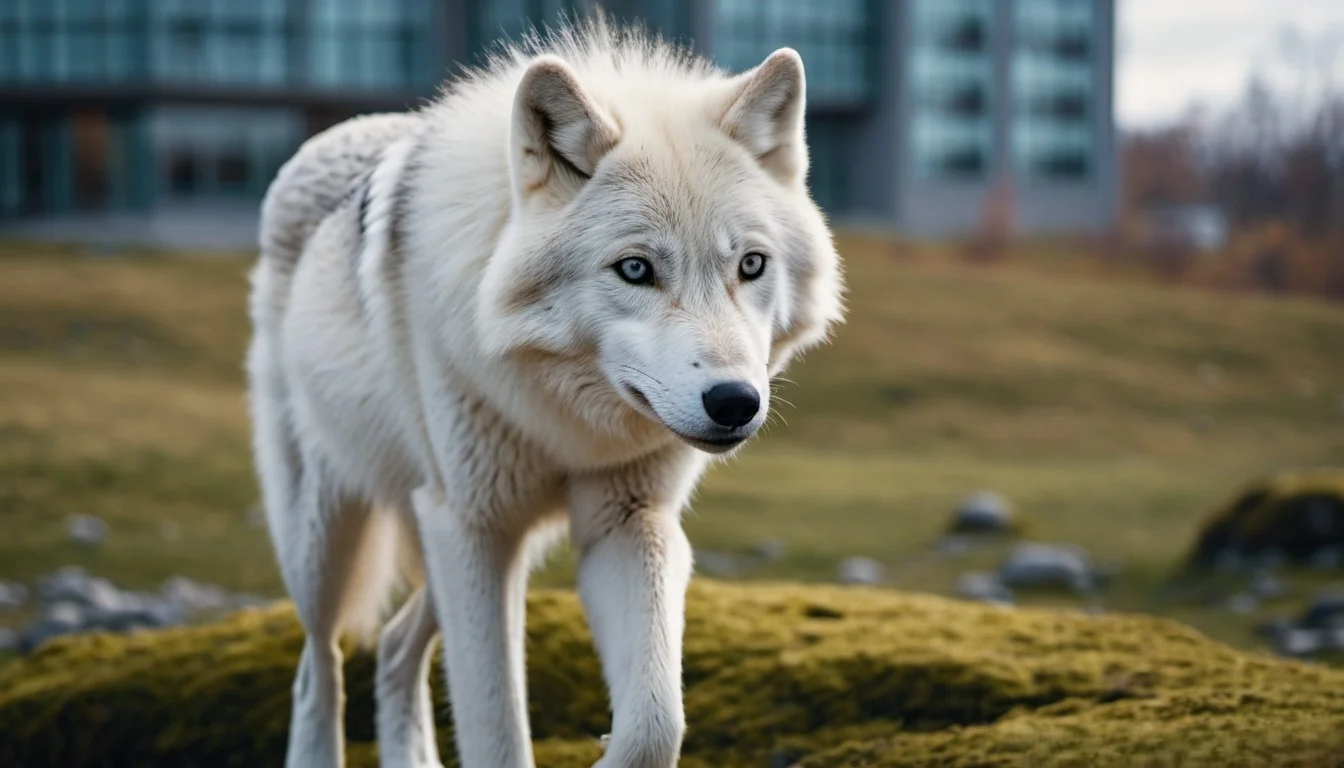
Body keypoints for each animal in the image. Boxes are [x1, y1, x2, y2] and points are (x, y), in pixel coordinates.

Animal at [246, 17, 843, 768]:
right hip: (333, 535)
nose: (736, 402)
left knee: (393, 647)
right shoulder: (472, 528)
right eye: (636, 269)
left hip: (462, 534)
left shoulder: (622, 519)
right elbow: (494, 728)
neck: (569, 422)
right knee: (317, 666)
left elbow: (655, 723)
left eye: (751, 265)